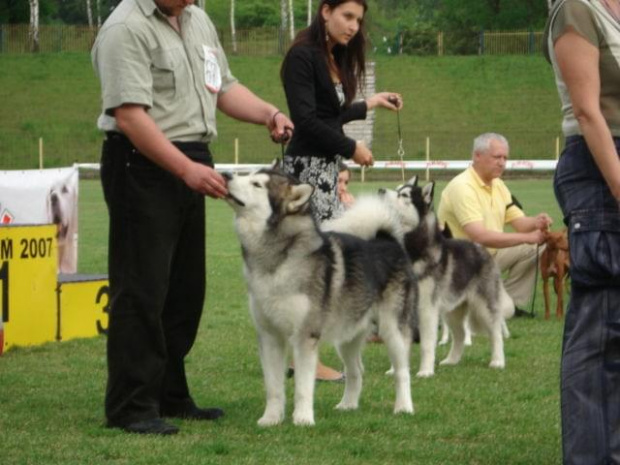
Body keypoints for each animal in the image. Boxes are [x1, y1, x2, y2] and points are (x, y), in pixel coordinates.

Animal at [223, 165, 416, 426]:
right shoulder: (269, 335)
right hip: (348, 336)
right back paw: (348, 405)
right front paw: (271, 419)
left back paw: (403, 407)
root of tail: (388, 241)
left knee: (402, 372)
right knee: (356, 371)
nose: (225, 175)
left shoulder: (305, 336)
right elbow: (273, 387)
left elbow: (303, 386)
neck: (276, 260)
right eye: (248, 175)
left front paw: (303, 419)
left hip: (392, 330)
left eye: (257, 185)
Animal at [380, 176, 516, 376]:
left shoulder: (426, 309)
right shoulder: (403, 308)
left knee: (495, 332)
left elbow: (427, 345)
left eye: (403, 195)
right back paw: (451, 360)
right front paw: (396, 370)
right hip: (452, 310)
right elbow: (400, 344)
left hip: (483, 306)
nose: (380, 190)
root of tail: (481, 249)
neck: (413, 252)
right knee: (460, 335)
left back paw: (498, 361)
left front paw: (425, 371)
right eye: (397, 188)